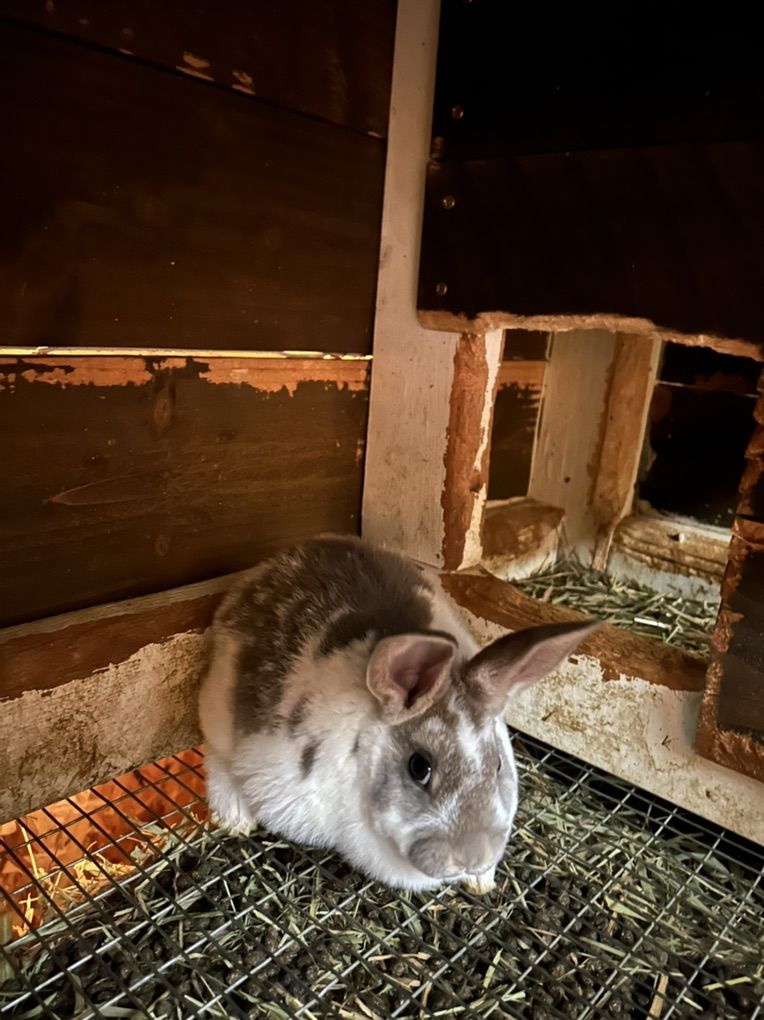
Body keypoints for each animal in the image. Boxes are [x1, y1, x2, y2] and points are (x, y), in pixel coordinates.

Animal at [198, 535, 597, 893]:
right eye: (419, 767)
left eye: (499, 765)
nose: (470, 858)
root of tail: (273, 563)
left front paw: (481, 881)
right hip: (219, 713)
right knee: (217, 760)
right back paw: (235, 815)